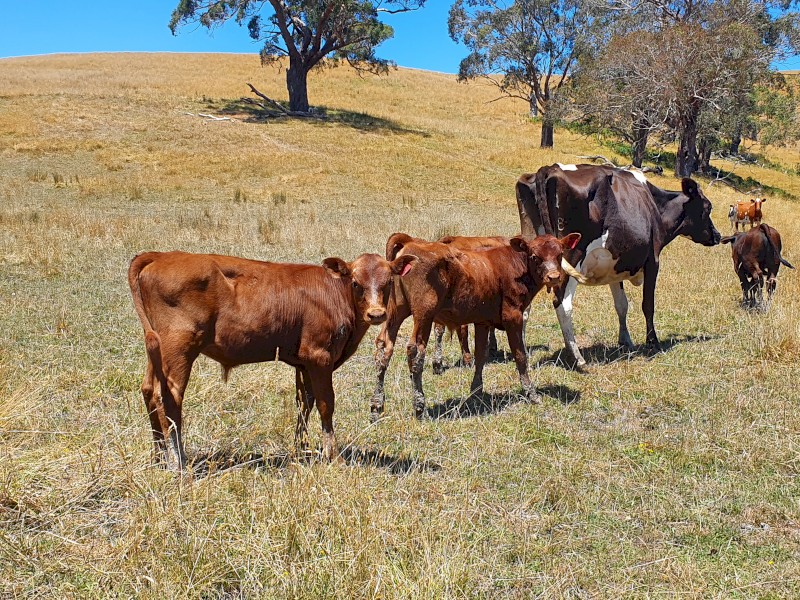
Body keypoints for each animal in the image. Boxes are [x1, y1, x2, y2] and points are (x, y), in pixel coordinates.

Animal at [128, 250, 416, 470]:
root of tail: (160, 255)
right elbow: (326, 404)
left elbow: (304, 403)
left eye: (388, 282)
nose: (376, 314)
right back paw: (178, 461)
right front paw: (332, 455)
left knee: (149, 391)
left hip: (157, 350)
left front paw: (302, 449)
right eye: (356, 282)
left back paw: (158, 456)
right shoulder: (319, 356)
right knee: (169, 397)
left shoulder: (303, 362)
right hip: (179, 348)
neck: (334, 293)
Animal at [370, 231, 582, 421]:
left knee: (384, 348)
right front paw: (531, 393)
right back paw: (419, 406)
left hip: (395, 311)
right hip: (424, 314)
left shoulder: (482, 322)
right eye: (535, 256)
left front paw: (476, 390)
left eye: (559, 254)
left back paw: (376, 405)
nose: (554, 277)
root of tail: (411, 243)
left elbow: (481, 355)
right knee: (415, 351)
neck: (515, 266)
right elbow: (520, 356)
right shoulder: (513, 317)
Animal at [516, 163, 721, 369]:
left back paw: (523, 352)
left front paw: (625, 340)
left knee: (525, 304)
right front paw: (653, 342)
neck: (656, 207)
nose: (718, 236)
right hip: (572, 257)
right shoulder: (653, 261)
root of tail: (550, 168)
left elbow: (622, 304)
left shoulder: (615, 266)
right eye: (708, 207)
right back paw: (577, 357)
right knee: (562, 304)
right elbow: (648, 305)